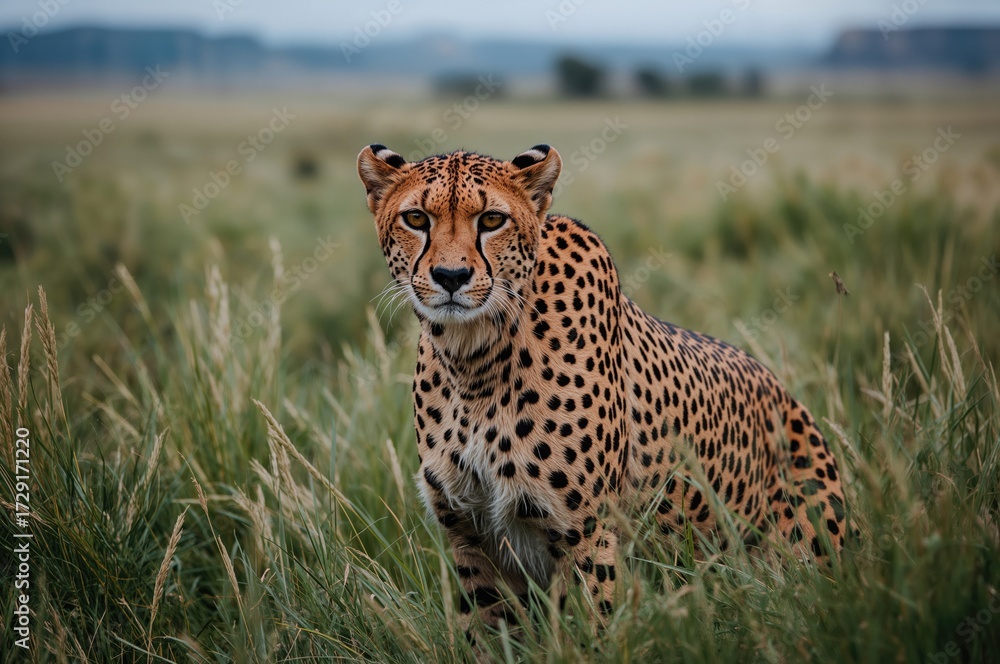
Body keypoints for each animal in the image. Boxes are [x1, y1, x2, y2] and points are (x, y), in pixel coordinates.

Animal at [357, 143, 847, 637]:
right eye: (416, 218)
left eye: (492, 219)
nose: (451, 276)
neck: (473, 358)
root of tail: (790, 397)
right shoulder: (471, 537)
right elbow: (490, 637)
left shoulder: (586, 536)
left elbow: (591, 632)